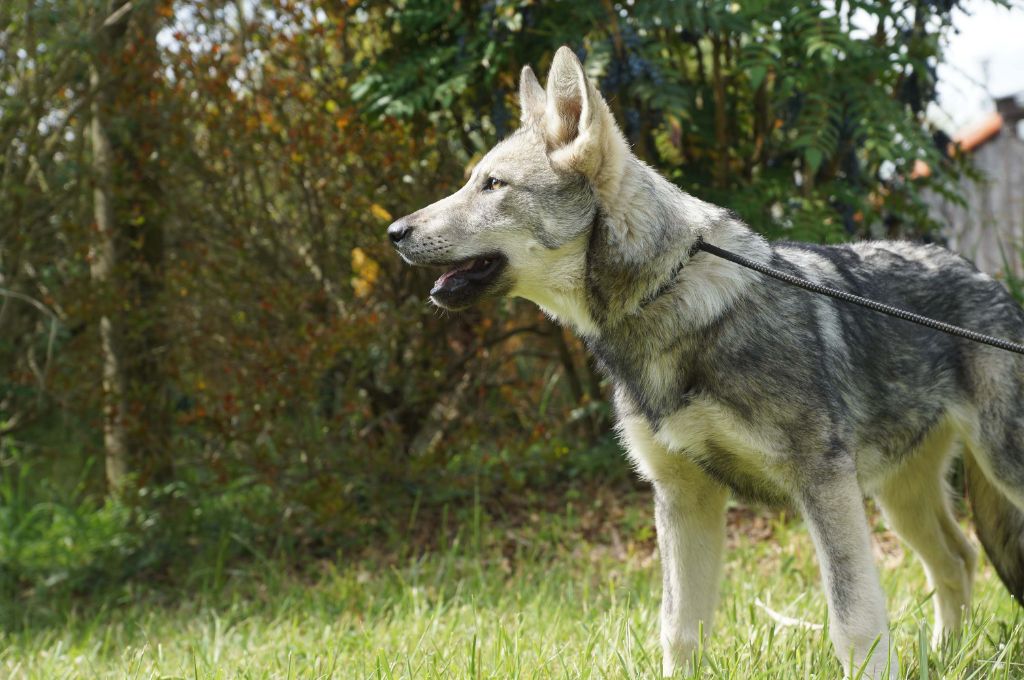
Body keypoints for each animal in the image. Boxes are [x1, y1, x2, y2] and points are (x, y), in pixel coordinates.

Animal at [385, 45, 1024, 675]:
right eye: (471, 181)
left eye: (492, 184)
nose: (393, 231)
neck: (665, 301)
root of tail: (980, 273)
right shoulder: (684, 498)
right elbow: (679, 630)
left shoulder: (825, 489)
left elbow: (855, 624)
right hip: (900, 499)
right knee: (958, 559)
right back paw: (946, 656)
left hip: (986, 474)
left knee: (959, 559)